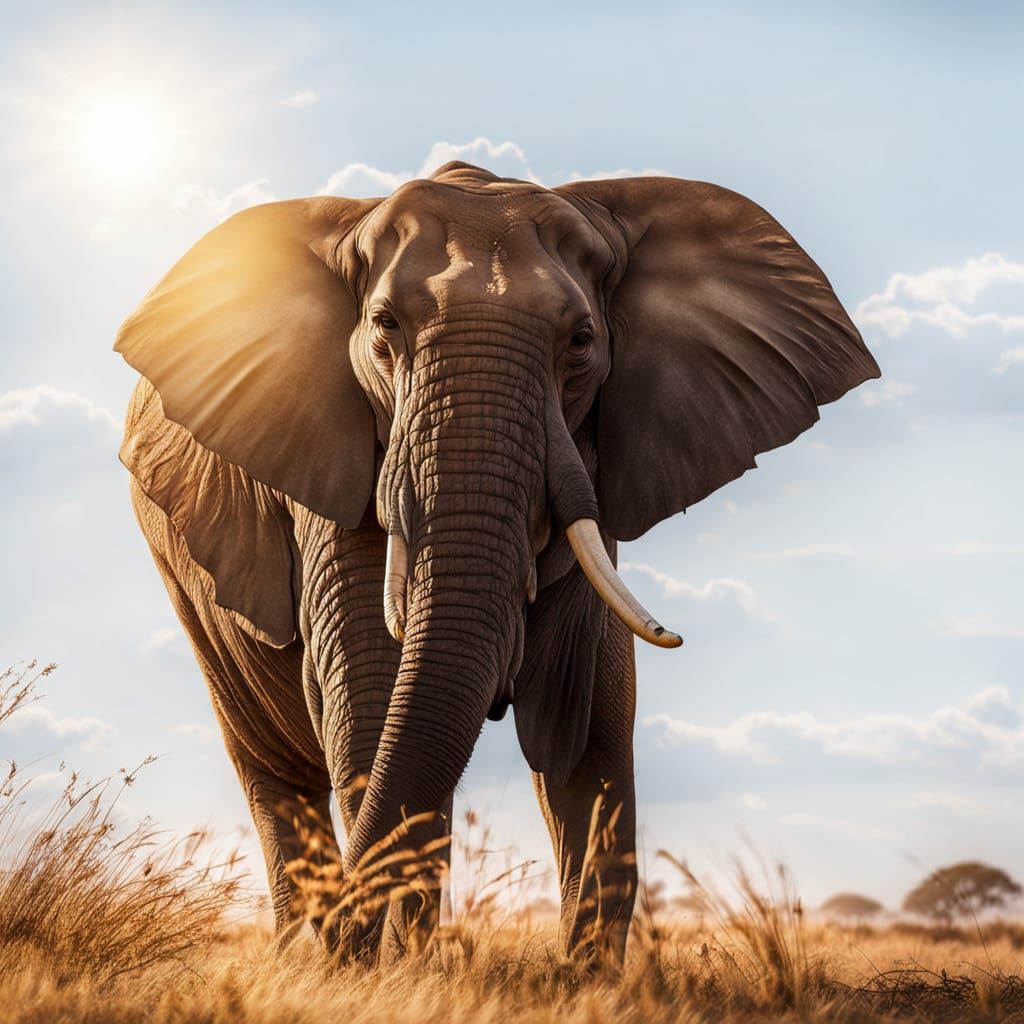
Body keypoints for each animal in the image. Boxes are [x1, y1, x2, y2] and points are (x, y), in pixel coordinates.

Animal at [115, 161, 879, 964]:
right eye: (384, 328)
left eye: (581, 341)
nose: (338, 942)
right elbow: (370, 713)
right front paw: (375, 972)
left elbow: (583, 745)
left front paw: (581, 980)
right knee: (277, 772)